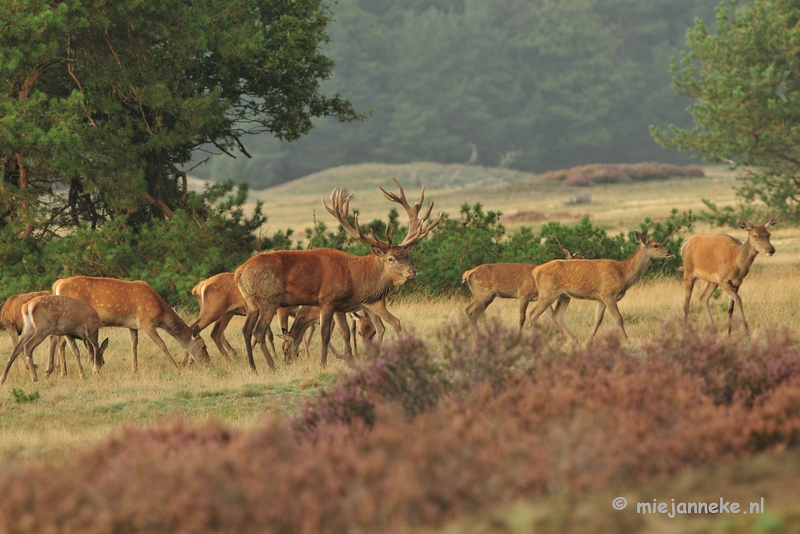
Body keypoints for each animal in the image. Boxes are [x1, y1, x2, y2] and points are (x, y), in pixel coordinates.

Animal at [51, 276, 209, 372]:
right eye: (203, 346)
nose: (209, 363)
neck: (160, 311)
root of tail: (57, 284)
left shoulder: (132, 325)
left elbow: (134, 345)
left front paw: (135, 369)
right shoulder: (146, 323)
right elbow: (162, 344)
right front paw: (175, 367)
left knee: (59, 341)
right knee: (61, 343)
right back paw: (62, 372)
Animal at [234, 178, 440, 370]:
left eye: (407, 255)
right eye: (391, 258)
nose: (413, 271)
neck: (354, 276)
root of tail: (239, 272)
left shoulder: (341, 306)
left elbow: (345, 333)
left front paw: (349, 360)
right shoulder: (327, 299)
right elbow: (325, 334)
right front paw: (323, 363)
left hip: (252, 301)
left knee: (246, 329)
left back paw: (253, 367)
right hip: (269, 298)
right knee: (259, 331)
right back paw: (272, 366)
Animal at [532, 232, 676, 346]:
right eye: (656, 245)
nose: (670, 251)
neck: (623, 274)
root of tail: (536, 270)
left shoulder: (601, 298)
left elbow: (598, 320)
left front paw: (589, 342)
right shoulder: (609, 294)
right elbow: (619, 318)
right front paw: (627, 341)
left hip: (563, 295)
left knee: (557, 315)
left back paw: (575, 342)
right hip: (547, 292)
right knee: (533, 313)